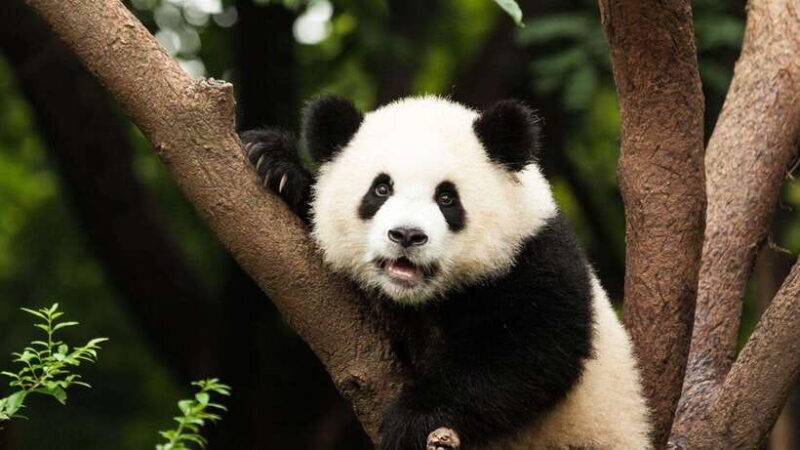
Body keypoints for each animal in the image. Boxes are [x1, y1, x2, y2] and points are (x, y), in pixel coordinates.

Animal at [241, 96, 651, 450]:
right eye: (381, 189)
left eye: (446, 198)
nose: (407, 235)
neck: (421, 299)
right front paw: (276, 165)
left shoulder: (534, 257)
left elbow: (532, 353)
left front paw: (413, 420)